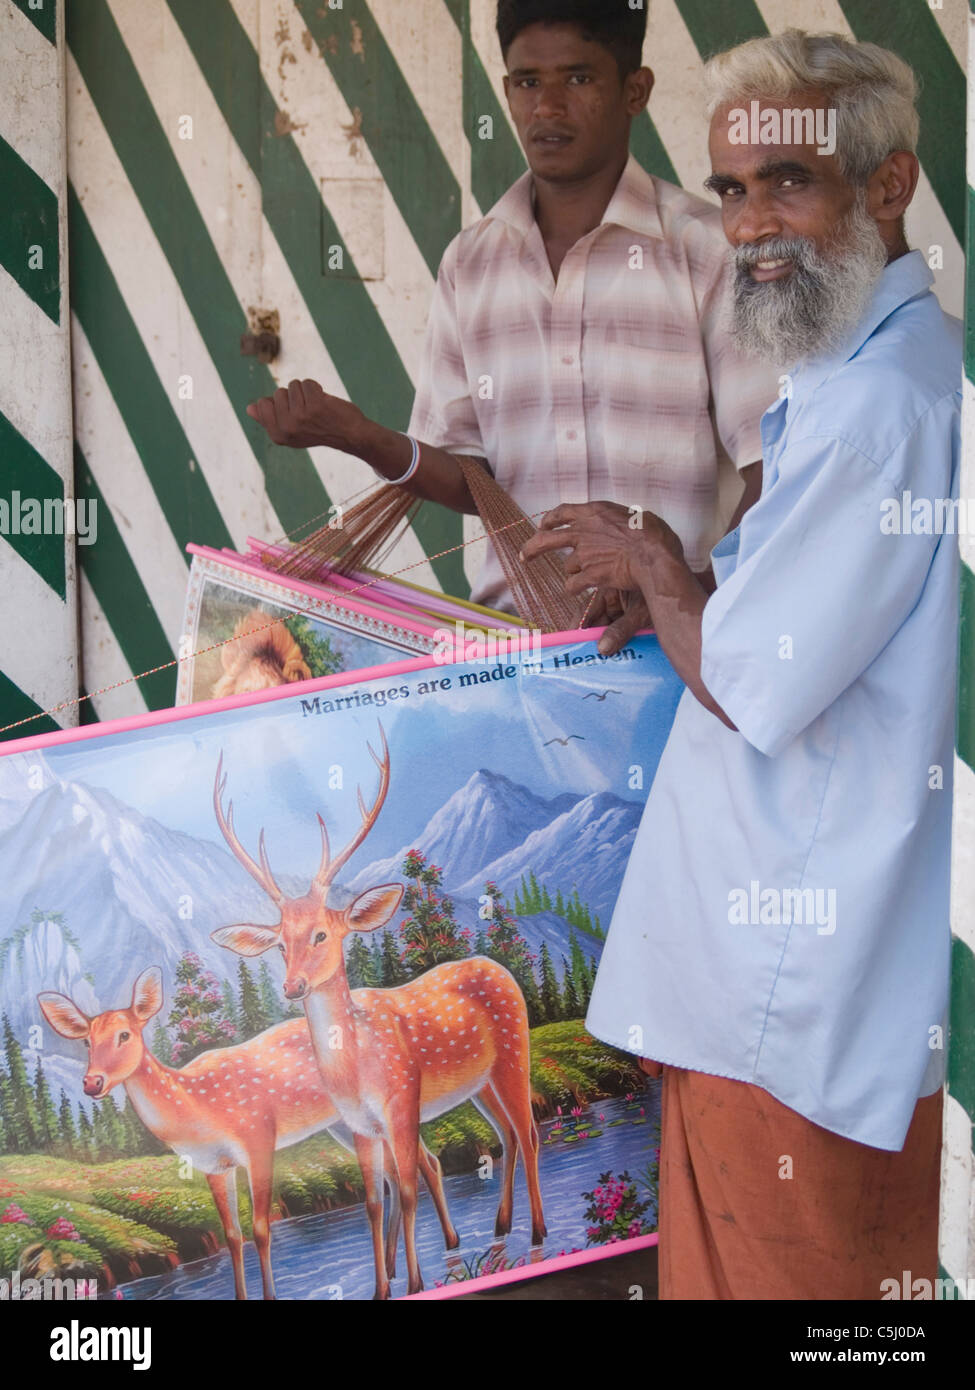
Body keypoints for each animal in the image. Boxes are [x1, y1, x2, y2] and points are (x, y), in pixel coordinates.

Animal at [38, 967, 458, 1301]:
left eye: (125, 1035)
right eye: (86, 1041)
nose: (92, 1082)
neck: (197, 1109)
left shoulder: (259, 1138)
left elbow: (260, 1230)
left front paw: (270, 1295)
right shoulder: (214, 1165)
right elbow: (231, 1236)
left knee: (422, 1164)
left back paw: (447, 1248)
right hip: (347, 1122)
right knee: (397, 1173)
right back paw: (394, 1268)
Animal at [211, 733, 545, 1295]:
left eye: (322, 933)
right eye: (280, 944)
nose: (292, 985)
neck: (356, 1068)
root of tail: (497, 966)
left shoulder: (402, 1101)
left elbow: (408, 1188)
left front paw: (414, 1283)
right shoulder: (362, 1125)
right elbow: (372, 1200)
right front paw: (381, 1287)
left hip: (514, 1053)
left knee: (531, 1132)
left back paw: (539, 1233)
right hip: (478, 1085)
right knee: (506, 1136)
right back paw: (501, 1227)